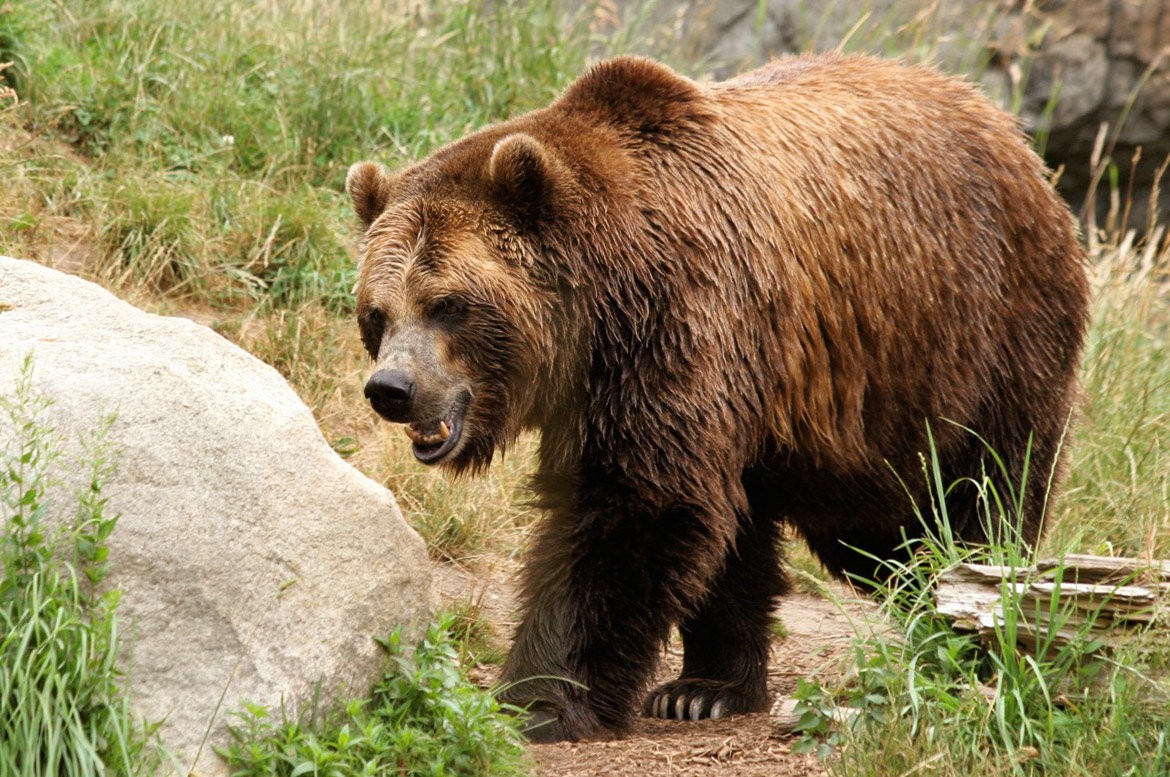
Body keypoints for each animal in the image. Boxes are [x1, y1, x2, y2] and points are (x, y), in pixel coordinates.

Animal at [346, 53, 1090, 742]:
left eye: (449, 304)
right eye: (378, 312)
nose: (393, 389)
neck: (599, 306)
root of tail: (1009, 132)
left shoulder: (675, 324)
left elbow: (634, 506)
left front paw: (539, 698)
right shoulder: (696, 379)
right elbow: (705, 521)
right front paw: (691, 689)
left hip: (973, 335)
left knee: (972, 496)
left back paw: (967, 633)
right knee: (861, 535)